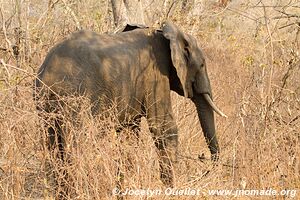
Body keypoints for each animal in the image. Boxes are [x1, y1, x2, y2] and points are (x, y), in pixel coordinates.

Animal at [34, 20, 226, 191]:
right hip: (76, 98)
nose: (203, 161)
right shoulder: (154, 75)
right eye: (202, 64)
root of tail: (47, 73)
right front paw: (170, 189)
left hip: (44, 104)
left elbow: (129, 132)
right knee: (78, 144)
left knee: (52, 146)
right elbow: (163, 127)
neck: (164, 32)